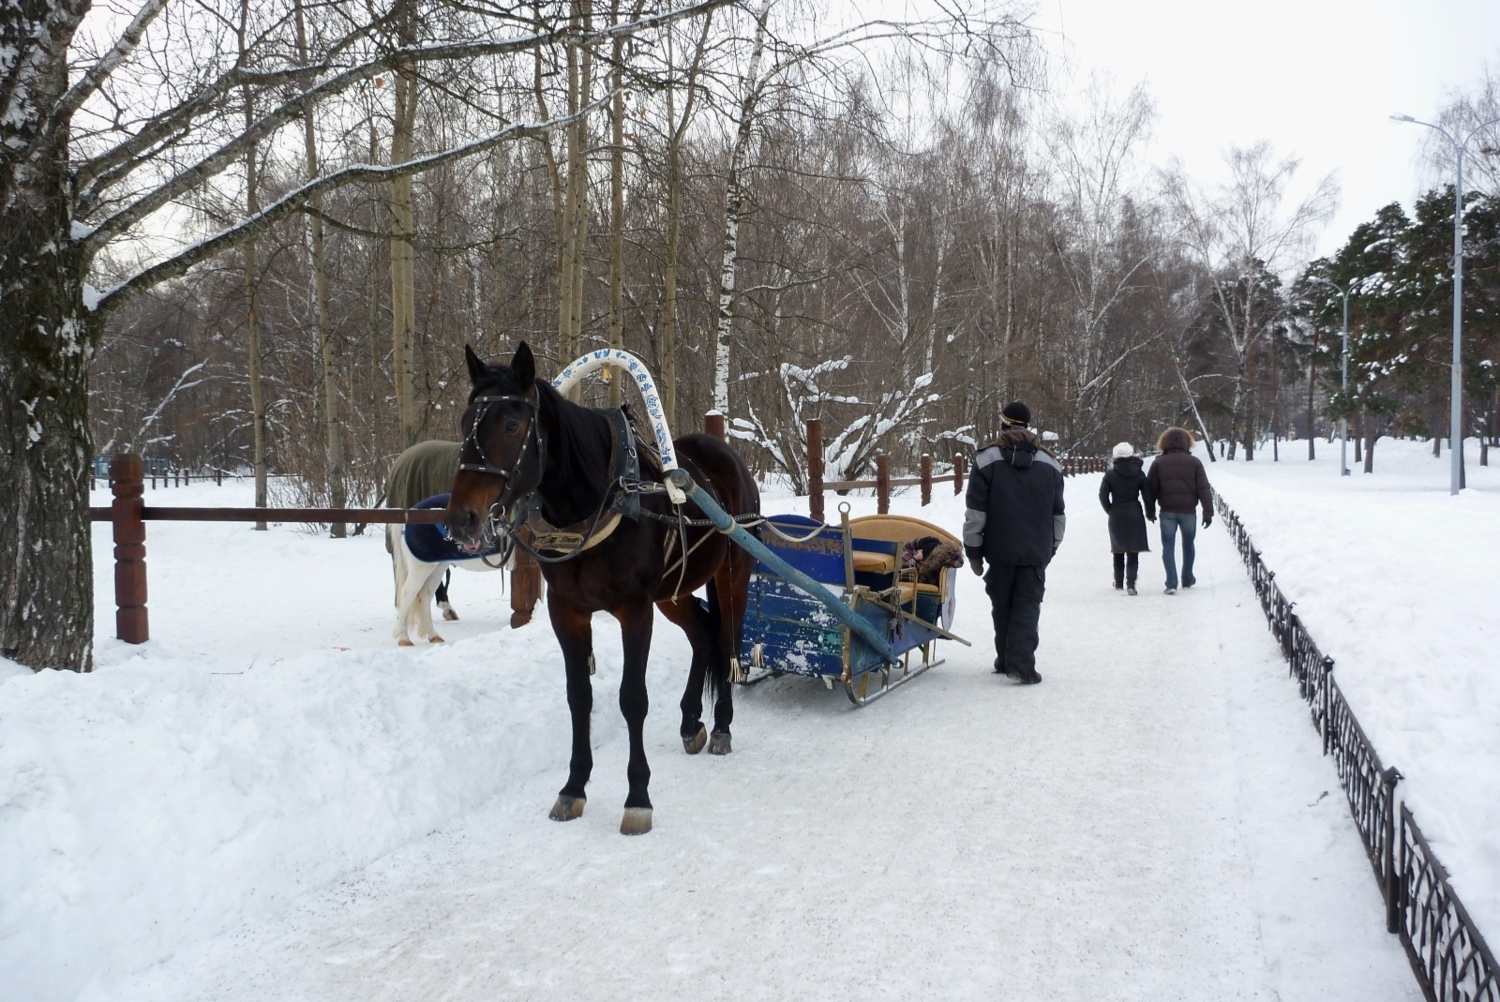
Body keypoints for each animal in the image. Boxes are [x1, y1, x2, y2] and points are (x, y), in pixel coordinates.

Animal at [438, 345, 756, 840]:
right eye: (465, 420)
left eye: (511, 424)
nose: (461, 519)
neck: (594, 501)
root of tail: (723, 451)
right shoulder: (566, 611)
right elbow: (578, 698)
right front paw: (573, 787)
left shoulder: (635, 610)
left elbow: (632, 699)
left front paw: (638, 796)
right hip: (674, 592)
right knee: (703, 634)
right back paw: (690, 721)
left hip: (731, 574)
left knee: (727, 642)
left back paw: (722, 725)